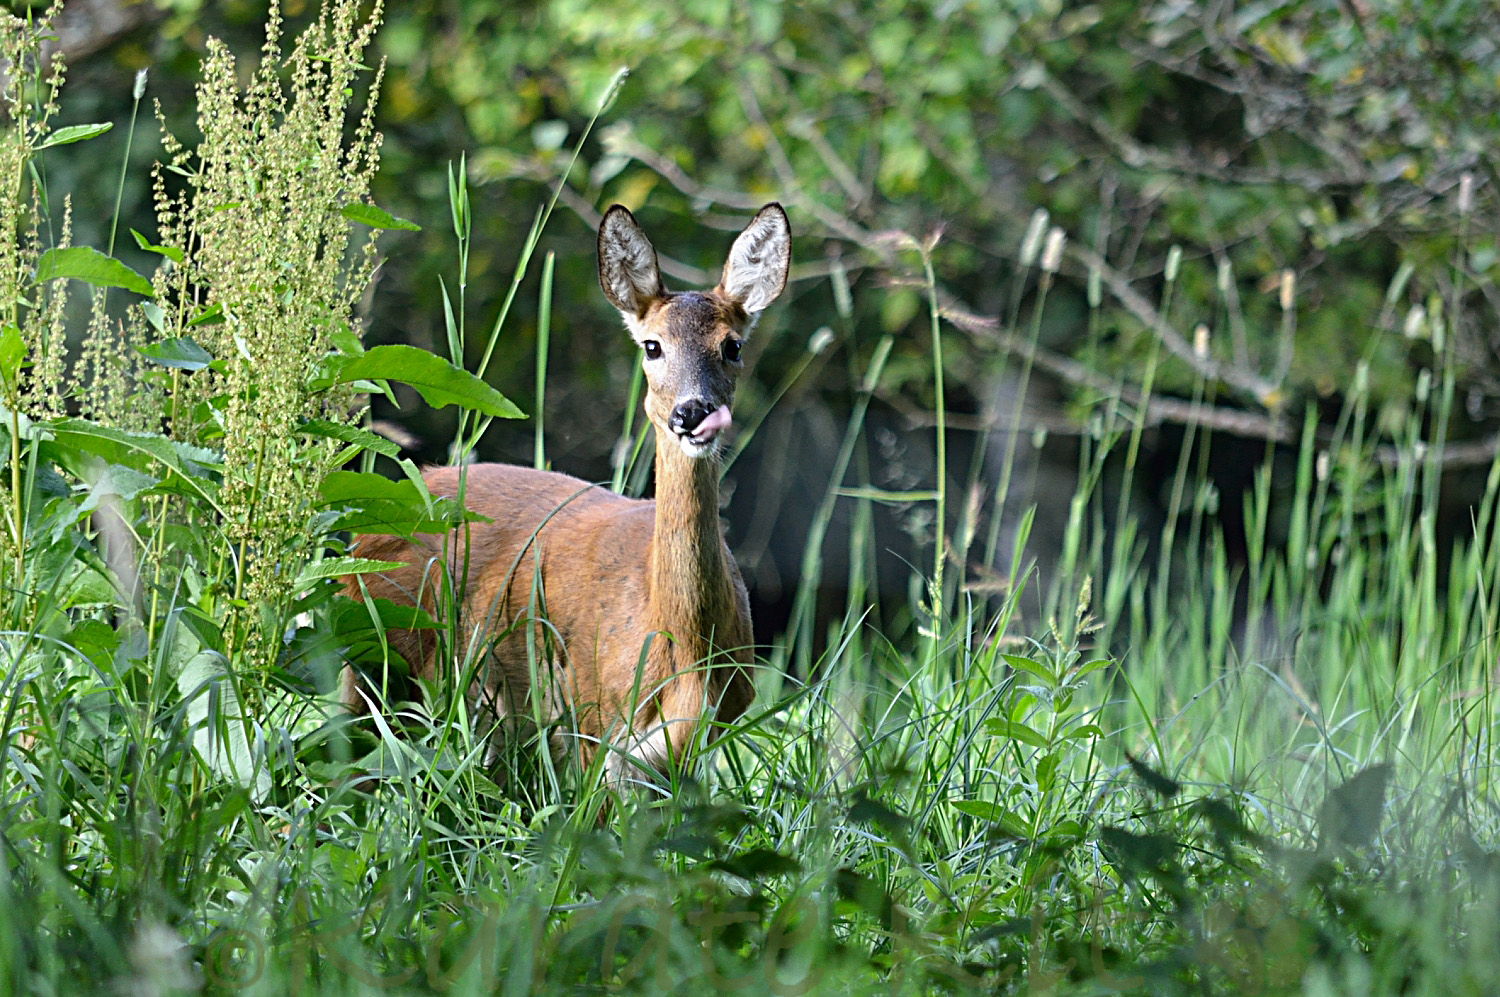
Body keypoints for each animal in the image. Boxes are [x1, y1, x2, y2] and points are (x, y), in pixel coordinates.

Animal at [343, 200, 792, 779]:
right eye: (652, 345)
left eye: (732, 346)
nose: (692, 413)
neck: (684, 652)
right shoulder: (589, 714)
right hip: (376, 658)